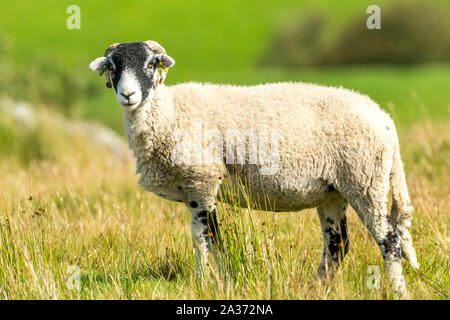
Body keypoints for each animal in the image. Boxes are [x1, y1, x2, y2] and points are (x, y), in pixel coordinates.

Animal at [88, 41, 418, 296]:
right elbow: (207, 238)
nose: (128, 96)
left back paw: (396, 290)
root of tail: (384, 119)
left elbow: (206, 238)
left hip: (365, 179)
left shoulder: (202, 180)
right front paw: (216, 280)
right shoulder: (197, 189)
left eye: (150, 64)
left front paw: (209, 282)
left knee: (389, 239)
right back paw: (315, 288)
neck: (169, 113)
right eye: (113, 67)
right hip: (334, 191)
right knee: (337, 246)